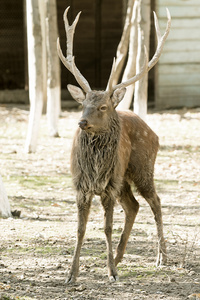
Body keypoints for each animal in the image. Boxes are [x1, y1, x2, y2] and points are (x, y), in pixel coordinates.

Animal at [57, 7, 171, 284]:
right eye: (83, 104)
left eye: (103, 107)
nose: (82, 122)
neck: (95, 170)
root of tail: (154, 133)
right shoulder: (81, 185)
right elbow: (80, 229)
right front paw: (71, 274)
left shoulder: (107, 187)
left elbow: (107, 227)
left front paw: (111, 272)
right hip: (123, 179)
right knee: (134, 205)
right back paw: (119, 257)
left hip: (142, 168)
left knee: (155, 201)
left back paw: (161, 257)